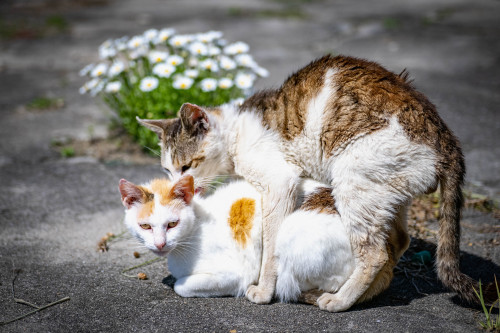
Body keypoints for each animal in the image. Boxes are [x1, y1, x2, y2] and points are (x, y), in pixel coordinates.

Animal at [119, 175, 404, 304]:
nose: (159, 244)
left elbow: (181, 286)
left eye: (172, 224)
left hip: (291, 234)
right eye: (145, 226)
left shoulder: (235, 273)